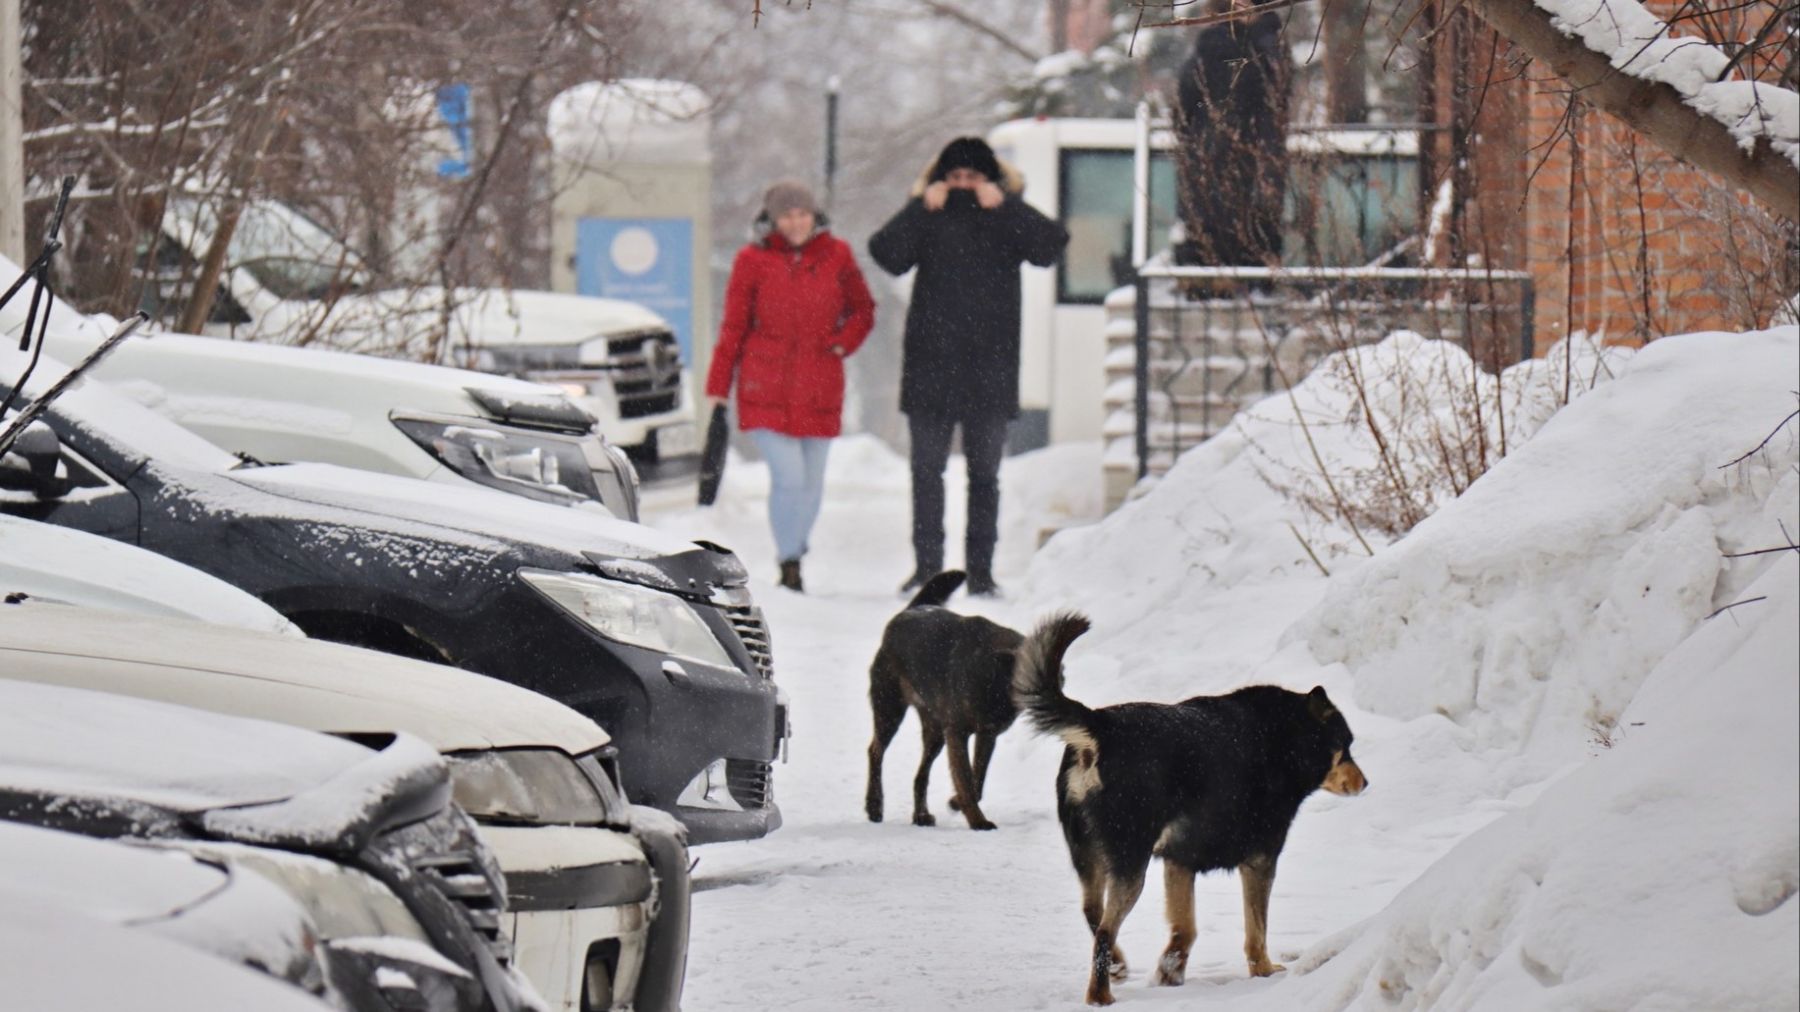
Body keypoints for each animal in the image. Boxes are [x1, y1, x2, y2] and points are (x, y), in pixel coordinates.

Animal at [867, 569, 1029, 828]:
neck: (991, 674)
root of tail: (911, 610)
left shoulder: (987, 734)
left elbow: (977, 780)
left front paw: (956, 802)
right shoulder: (958, 734)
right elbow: (967, 780)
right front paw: (977, 821)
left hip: (935, 733)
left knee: (920, 775)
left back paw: (921, 815)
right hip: (889, 711)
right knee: (875, 751)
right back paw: (874, 805)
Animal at [1015, 605, 1360, 1001]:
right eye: (1346, 746)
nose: (1365, 782)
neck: (1284, 740)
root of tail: (1100, 726)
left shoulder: (1179, 860)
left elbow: (1185, 929)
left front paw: (1170, 971)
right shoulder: (1260, 860)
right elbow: (1256, 929)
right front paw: (1263, 971)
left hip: (1089, 855)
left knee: (1092, 912)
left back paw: (1118, 966)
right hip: (1130, 862)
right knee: (1104, 930)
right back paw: (1100, 995)